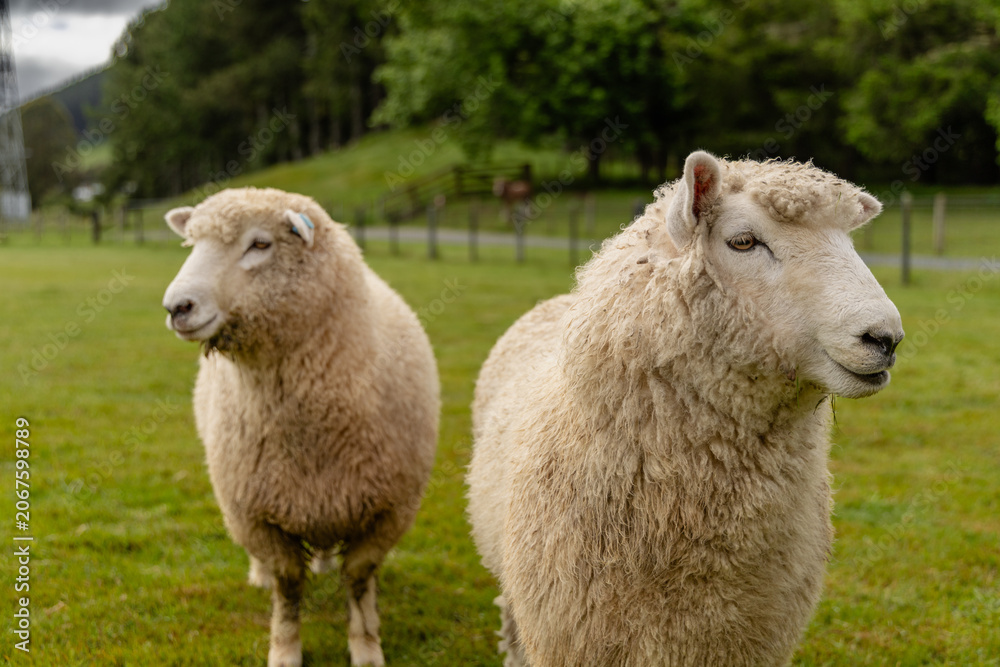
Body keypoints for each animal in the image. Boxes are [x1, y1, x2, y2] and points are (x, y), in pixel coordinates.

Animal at [161, 187, 439, 667]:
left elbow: (359, 577)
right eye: (192, 243)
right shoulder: (256, 513)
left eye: (260, 244)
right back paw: (260, 575)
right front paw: (285, 648)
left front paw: (366, 645)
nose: (177, 307)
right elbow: (287, 585)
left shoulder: (389, 510)